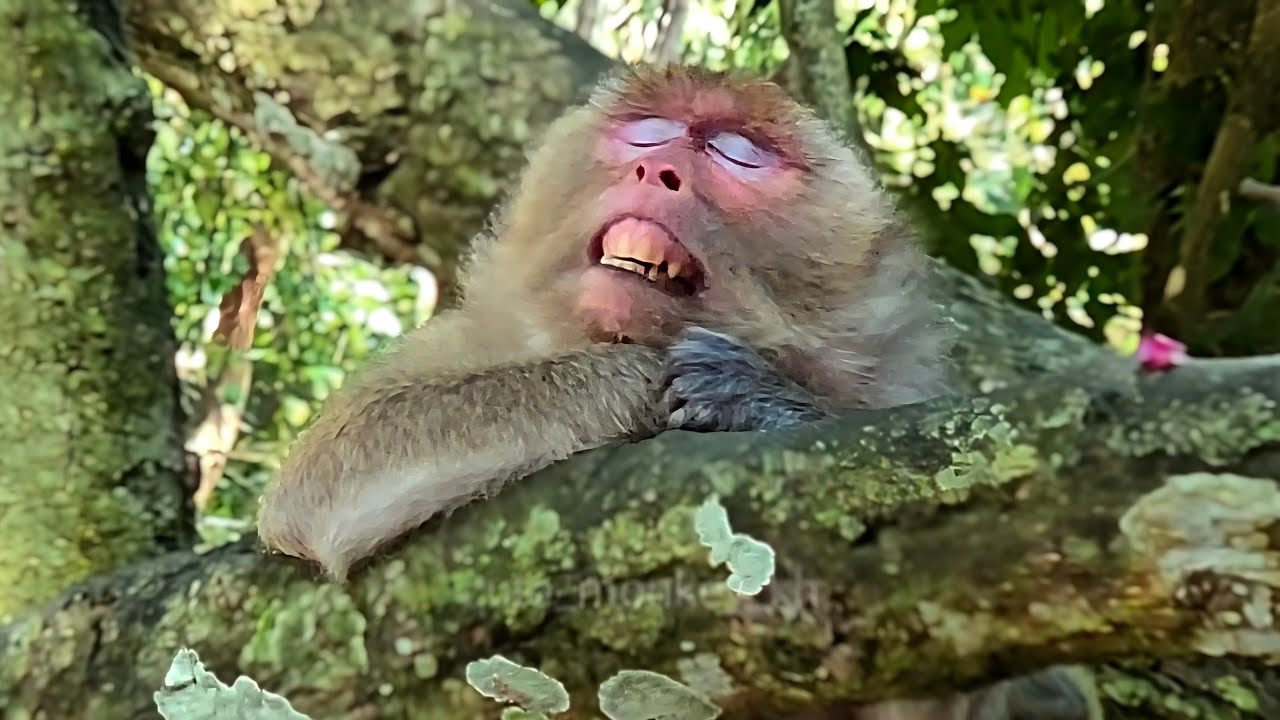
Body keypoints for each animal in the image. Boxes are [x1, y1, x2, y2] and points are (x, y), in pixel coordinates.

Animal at [255, 64, 1095, 720]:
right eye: (649, 133)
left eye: (738, 153)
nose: (657, 171)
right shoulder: (471, 338)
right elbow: (332, 469)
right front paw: (683, 383)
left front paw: (759, 395)